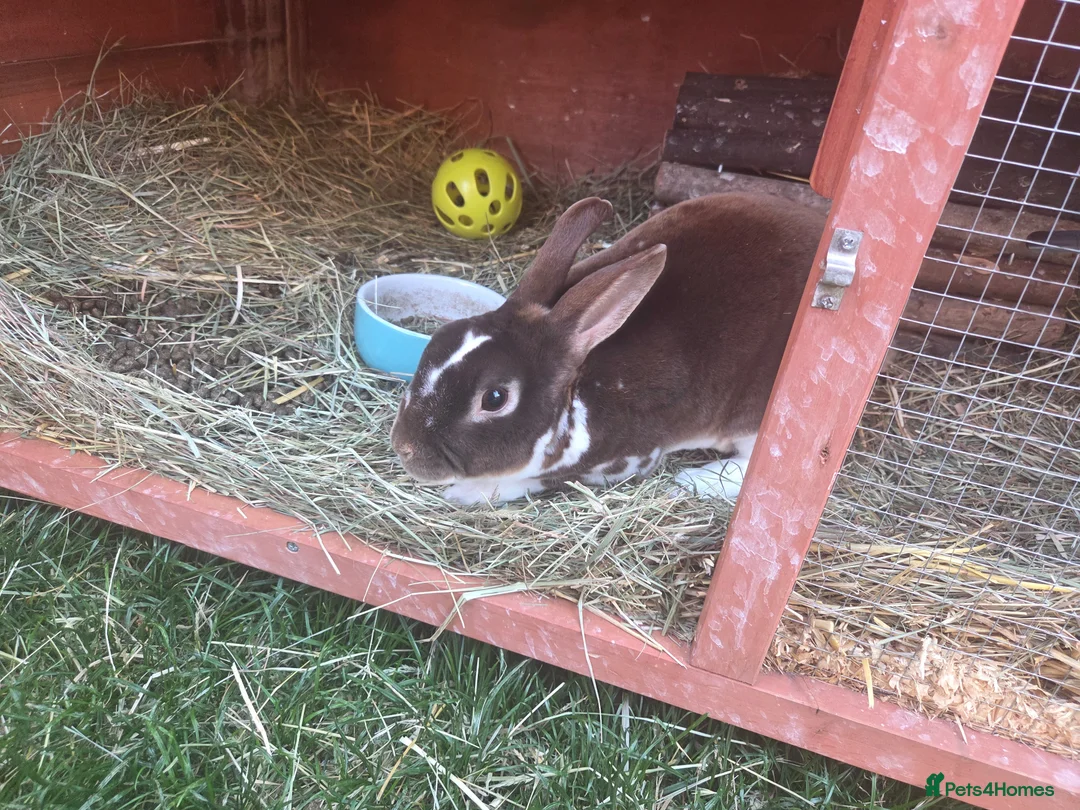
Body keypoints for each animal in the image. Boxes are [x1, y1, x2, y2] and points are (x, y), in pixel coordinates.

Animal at [389, 192, 827, 506]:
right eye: (436, 341)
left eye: (494, 398)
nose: (404, 448)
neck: (576, 394)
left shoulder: (624, 461)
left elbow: (537, 481)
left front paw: (464, 493)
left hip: (755, 418)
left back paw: (693, 480)